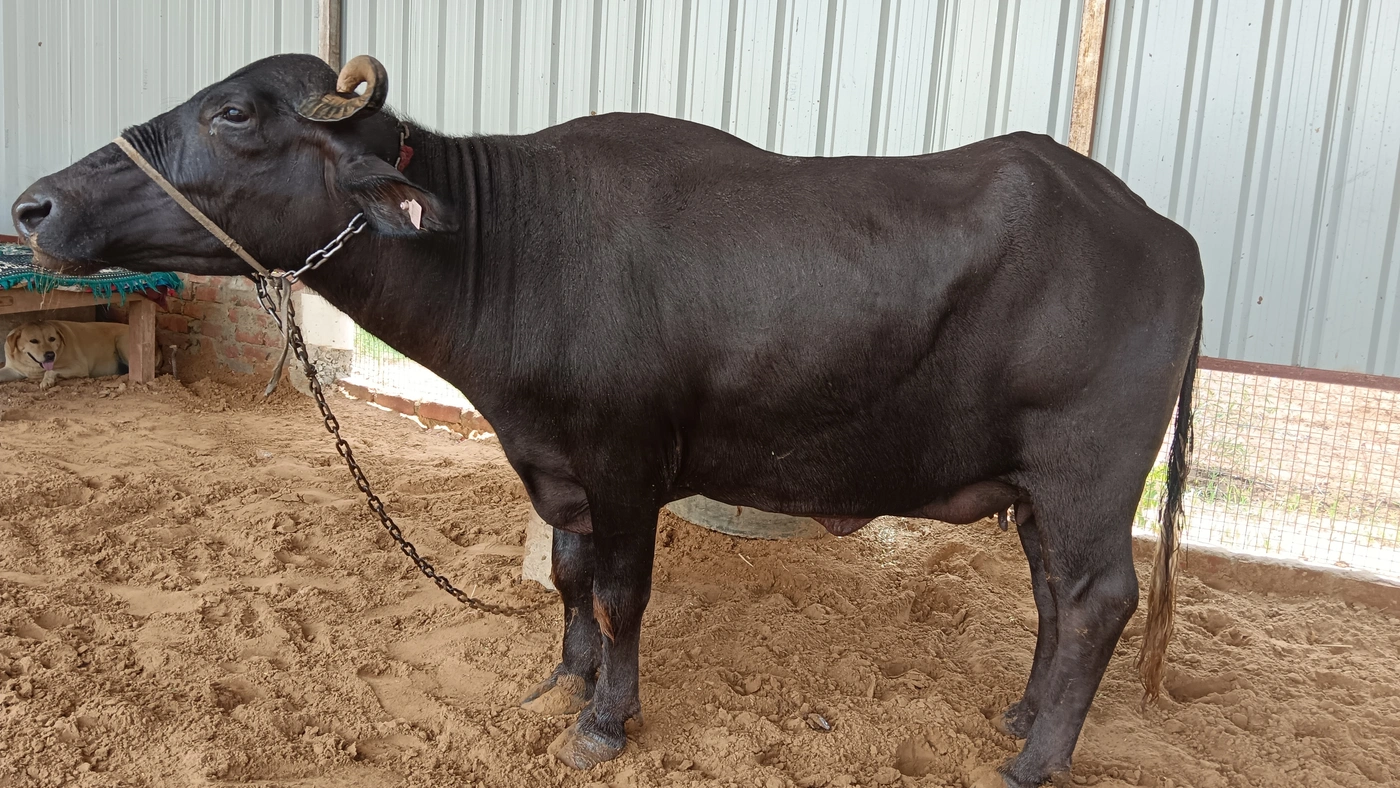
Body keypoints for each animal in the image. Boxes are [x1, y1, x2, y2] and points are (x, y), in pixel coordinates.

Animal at [12, 54, 1203, 787]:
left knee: (1094, 599)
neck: (512, 247)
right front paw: (567, 676)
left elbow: (625, 591)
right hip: (1038, 487)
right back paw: (1020, 717)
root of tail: (1164, 230)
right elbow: (570, 574)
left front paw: (604, 719)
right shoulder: (555, 465)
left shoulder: (628, 462)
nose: (34, 205)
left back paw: (1034, 759)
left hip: (1087, 469)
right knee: (1052, 596)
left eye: (235, 113)